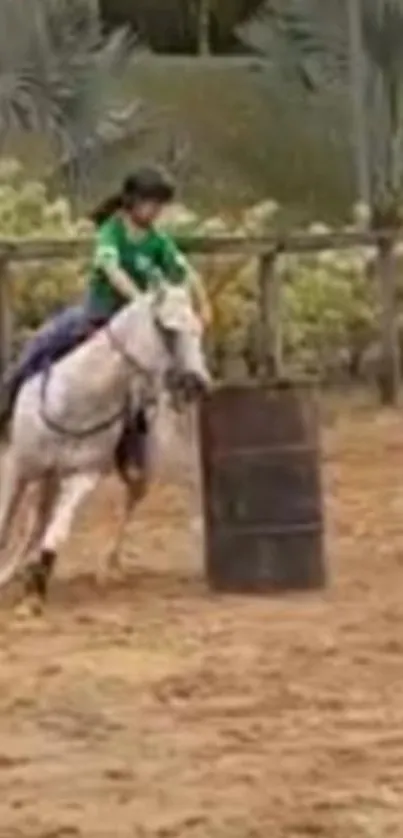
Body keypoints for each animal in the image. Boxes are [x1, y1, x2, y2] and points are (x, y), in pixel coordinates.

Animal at [0, 286, 211, 608]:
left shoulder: (83, 475)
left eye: (198, 328)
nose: (198, 383)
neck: (78, 398)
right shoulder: (18, 468)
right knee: (36, 520)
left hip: (141, 470)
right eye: (167, 328)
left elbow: (58, 532)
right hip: (46, 475)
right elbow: (5, 522)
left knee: (126, 504)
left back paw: (105, 569)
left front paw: (36, 589)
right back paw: (12, 569)